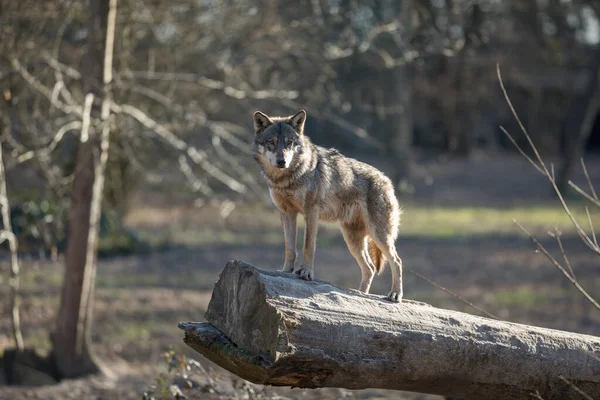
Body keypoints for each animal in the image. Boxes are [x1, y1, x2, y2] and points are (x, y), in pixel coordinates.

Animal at [251, 109, 406, 304]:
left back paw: (395, 295)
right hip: (352, 240)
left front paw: (306, 272)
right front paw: (286, 271)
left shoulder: (311, 212)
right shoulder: (287, 213)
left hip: (379, 235)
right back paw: (361, 295)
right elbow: (290, 248)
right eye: (271, 142)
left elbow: (308, 245)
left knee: (397, 261)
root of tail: (386, 179)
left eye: (289, 143)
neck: (286, 179)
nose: (281, 161)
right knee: (369, 268)